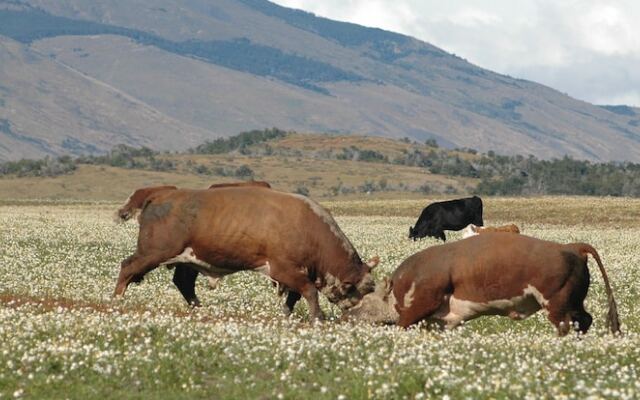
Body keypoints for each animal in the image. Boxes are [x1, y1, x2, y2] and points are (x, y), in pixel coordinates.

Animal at [114, 186, 380, 320]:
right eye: (360, 290)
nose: (357, 315)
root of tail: (159, 194)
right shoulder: (284, 270)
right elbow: (309, 292)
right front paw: (318, 317)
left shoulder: (295, 273)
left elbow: (295, 296)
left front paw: (287, 314)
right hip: (153, 252)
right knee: (127, 267)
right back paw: (117, 300)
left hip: (187, 260)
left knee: (183, 282)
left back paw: (199, 308)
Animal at [344, 233, 620, 336]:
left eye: (365, 300)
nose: (345, 317)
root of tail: (572, 247)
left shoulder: (415, 310)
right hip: (574, 303)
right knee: (585, 320)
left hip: (557, 306)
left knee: (565, 325)